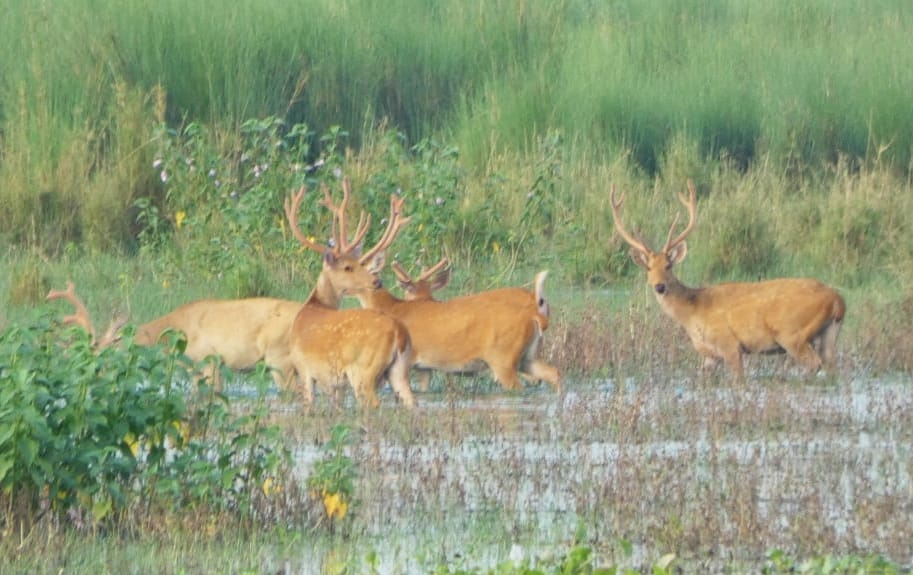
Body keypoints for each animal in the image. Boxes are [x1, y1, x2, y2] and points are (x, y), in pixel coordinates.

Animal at [283, 178, 416, 410]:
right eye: (348, 267)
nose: (376, 281)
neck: (312, 306)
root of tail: (399, 332)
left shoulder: (304, 368)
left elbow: (309, 405)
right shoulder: (338, 385)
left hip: (363, 370)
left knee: (373, 403)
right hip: (399, 370)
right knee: (412, 402)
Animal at [354, 256, 561, 395]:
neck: (392, 308)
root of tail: (536, 308)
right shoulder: (424, 367)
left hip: (504, 359)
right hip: (527, 356)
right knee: (553, 373)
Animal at [610, 179, 846, 380]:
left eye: (668, 266)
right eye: (649, 268)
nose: (659, 286)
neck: (692, 312)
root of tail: (837, 300)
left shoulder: (729, 344)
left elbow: (738, 379)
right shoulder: (709, 355)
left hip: (792, 333)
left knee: (814, 363)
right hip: (829, 333)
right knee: (832, 367)